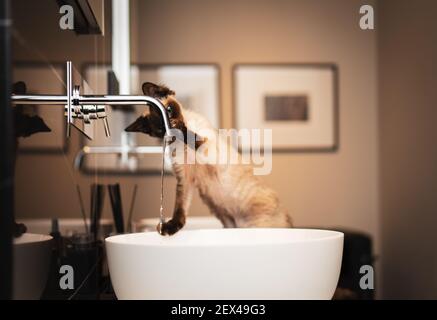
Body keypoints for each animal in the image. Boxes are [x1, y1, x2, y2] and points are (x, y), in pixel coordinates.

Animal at [124, 81, 292, 235]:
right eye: (160, 129)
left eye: (170, 111)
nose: (173, 129)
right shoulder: (185, 179)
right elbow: (180, 208)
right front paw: (170, 227)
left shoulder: (209, 151)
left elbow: (193, 136)